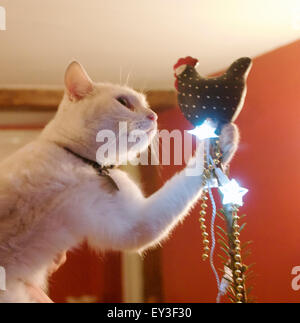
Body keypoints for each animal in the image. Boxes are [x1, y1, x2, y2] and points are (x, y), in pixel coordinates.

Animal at [0, 61, 239, 304]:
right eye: (123, 102)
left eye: (147, 105)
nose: (154, 116)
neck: (85, 164)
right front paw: (218, 139)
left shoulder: (129, 222)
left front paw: (219, 139)